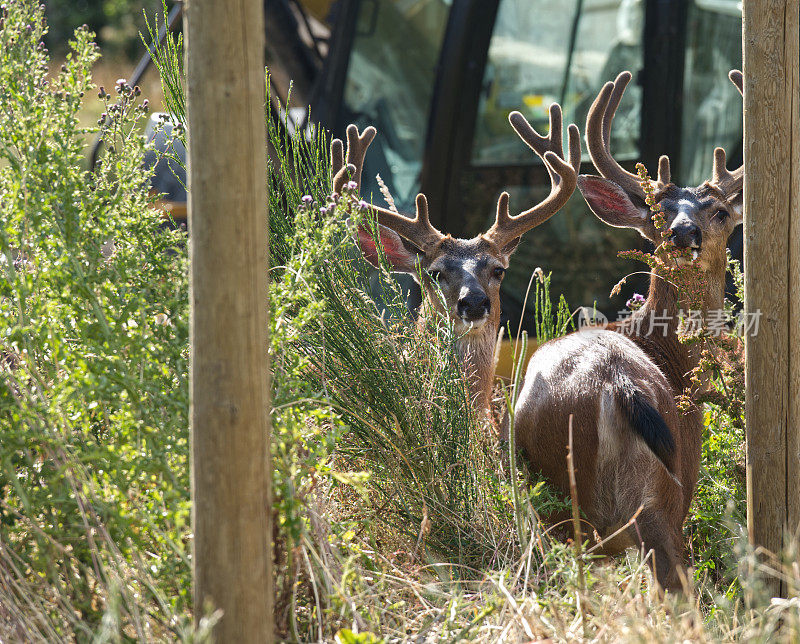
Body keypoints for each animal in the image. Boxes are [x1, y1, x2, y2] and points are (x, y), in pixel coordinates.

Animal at [510, 71, 748, 592]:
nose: (683, 233)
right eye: (658, 214)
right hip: (661, 500)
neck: (670, 357)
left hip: (557, 506)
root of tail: (615, 382)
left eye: (720, 211)